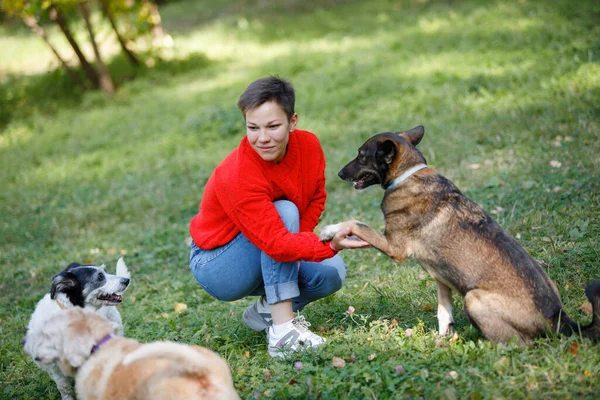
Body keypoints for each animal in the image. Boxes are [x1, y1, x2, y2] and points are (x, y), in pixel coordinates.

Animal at [322, 126, 600, 344]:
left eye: (361, 156)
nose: (338, 174)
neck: (407, 175)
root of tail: (559, 320)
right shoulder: (441, 277)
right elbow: (443, 311)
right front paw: (443, 339)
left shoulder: (394, 247)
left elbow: (356, 224)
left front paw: (330, 229)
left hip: (474, 299)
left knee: (520, 344)